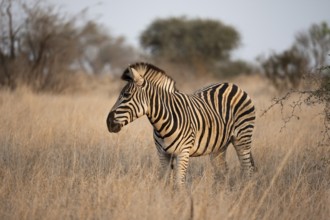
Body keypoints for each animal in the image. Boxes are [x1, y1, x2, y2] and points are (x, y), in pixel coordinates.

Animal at [107, 62, 256, 186]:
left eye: (126, 95)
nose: (108, 122)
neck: (162, 122)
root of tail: (232, 84)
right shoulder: (162, 154)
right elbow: (166, 181)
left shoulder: (183, 152)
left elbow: (179, 183)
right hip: (219, 146)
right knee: (223, 171)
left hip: (242, 138)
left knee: (247, 168)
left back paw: (246, 190)